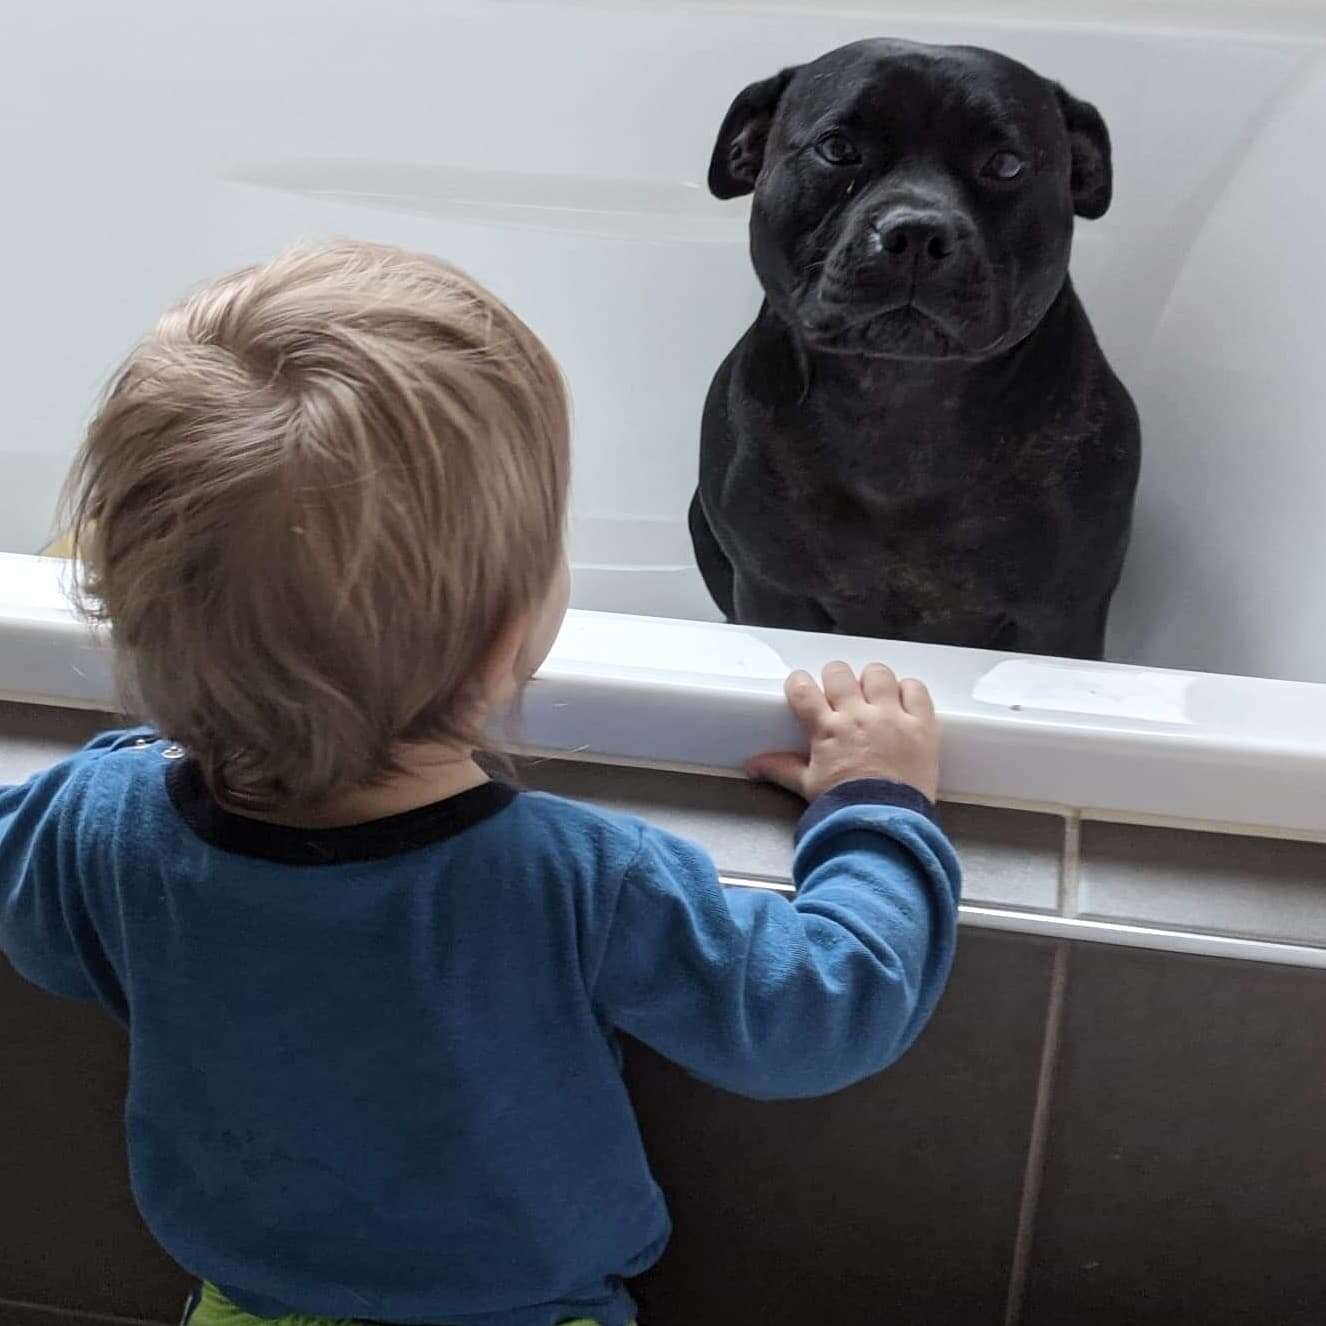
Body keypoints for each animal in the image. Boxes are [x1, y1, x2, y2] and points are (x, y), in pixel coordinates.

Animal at [694, 38, 1140, 660]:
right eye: (838, 148)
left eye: (1006, 164)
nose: (917, 232)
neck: (900, 401)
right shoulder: (772, 592)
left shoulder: (1061, 617)